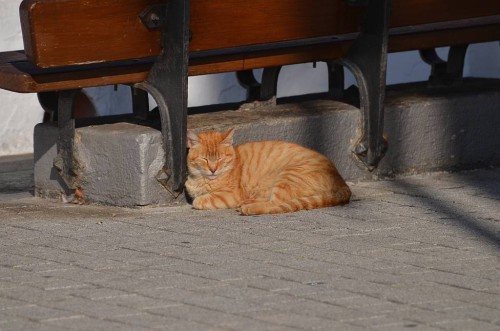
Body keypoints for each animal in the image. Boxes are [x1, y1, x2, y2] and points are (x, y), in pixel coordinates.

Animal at [185, 127, 352, 215]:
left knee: (274, 205)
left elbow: (200, 200)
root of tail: (342, 182)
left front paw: (199, 200)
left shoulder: (230, 195)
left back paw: (249, 207)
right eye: (205, 159)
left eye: (219, 159)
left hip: (288, 176)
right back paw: (248, 202)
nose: (213, 169)